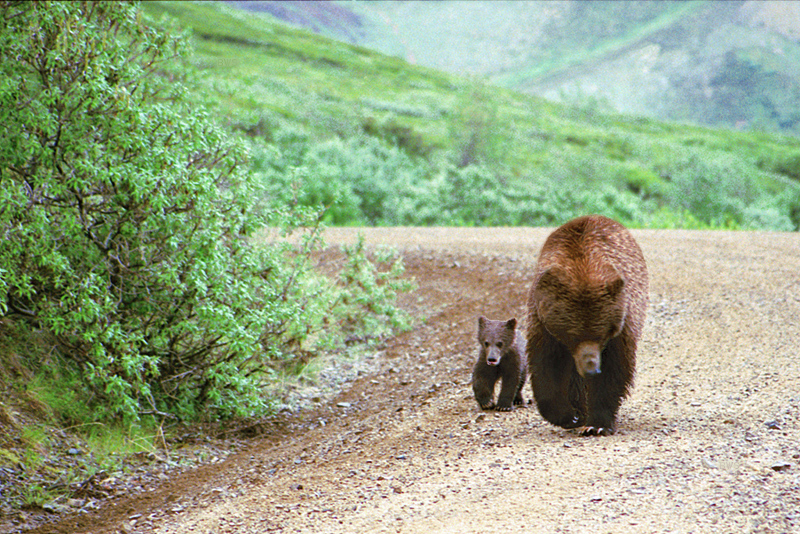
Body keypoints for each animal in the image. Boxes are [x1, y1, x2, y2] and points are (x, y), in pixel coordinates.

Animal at [526, 215, 648, 436]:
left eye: (602, 335)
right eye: (573, 335)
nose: (591, 368)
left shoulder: (622, 325)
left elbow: (614, 370)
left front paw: (596, 424)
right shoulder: (543, 324)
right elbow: (546, 367)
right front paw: (568, 415)